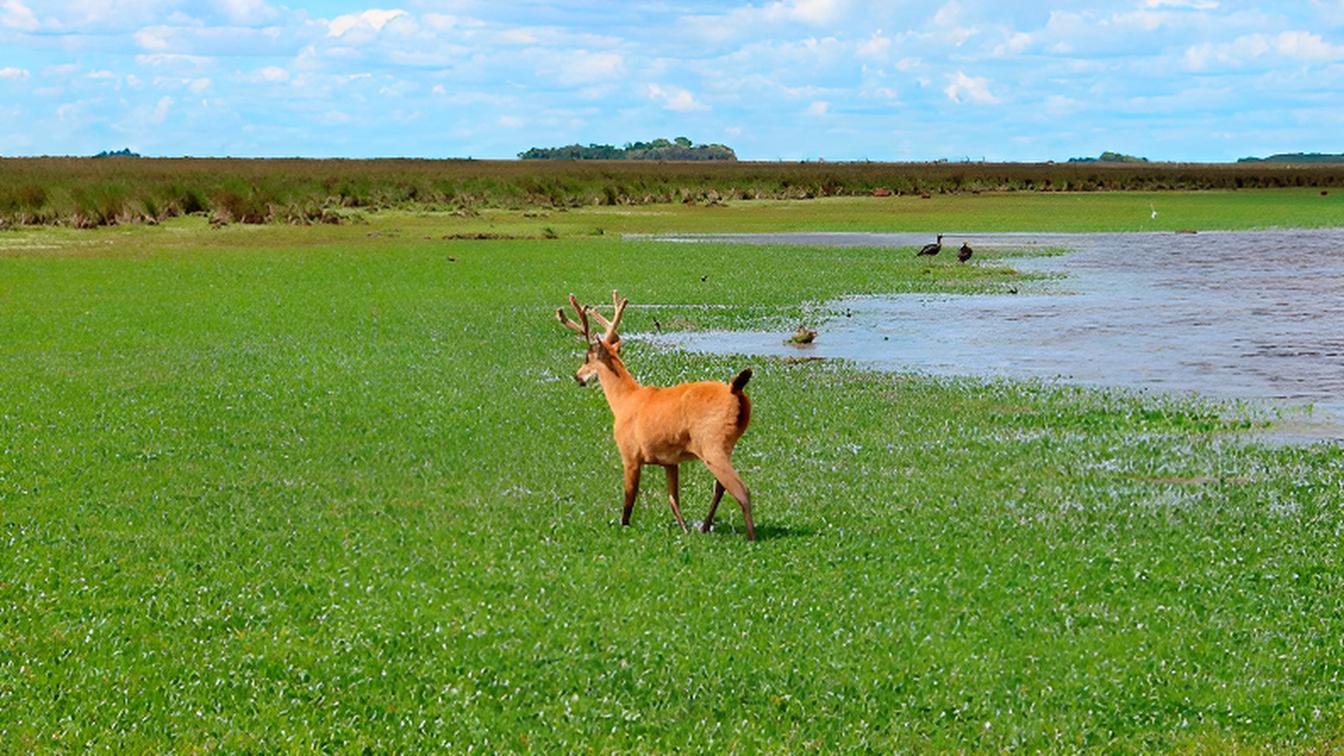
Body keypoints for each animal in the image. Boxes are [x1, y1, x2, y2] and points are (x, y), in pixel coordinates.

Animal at [557, 290, 757, 541]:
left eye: (586, 357)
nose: (577, 376)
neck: (623, 402)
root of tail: (735, 390)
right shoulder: (669, 461)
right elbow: (673, 499)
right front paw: (684, 530)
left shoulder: (630, 453)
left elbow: (629, 500)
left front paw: (623, 528)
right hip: (723, 445)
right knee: (721, 487)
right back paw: (704, 526)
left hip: (712, 441)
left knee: (742, 489)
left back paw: (751, 538)